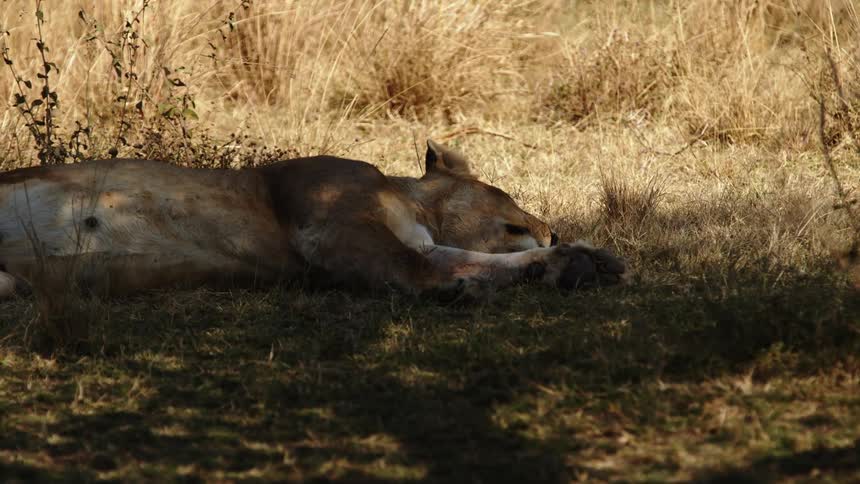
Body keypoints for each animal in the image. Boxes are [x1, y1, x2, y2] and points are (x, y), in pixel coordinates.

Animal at [0, 140, 625, 300]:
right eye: (508, 197)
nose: (552, 228)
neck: (414, 206)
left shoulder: (420, 241)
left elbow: (476, 261)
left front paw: (576, 263)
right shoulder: (332, 230)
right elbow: (418, 271)